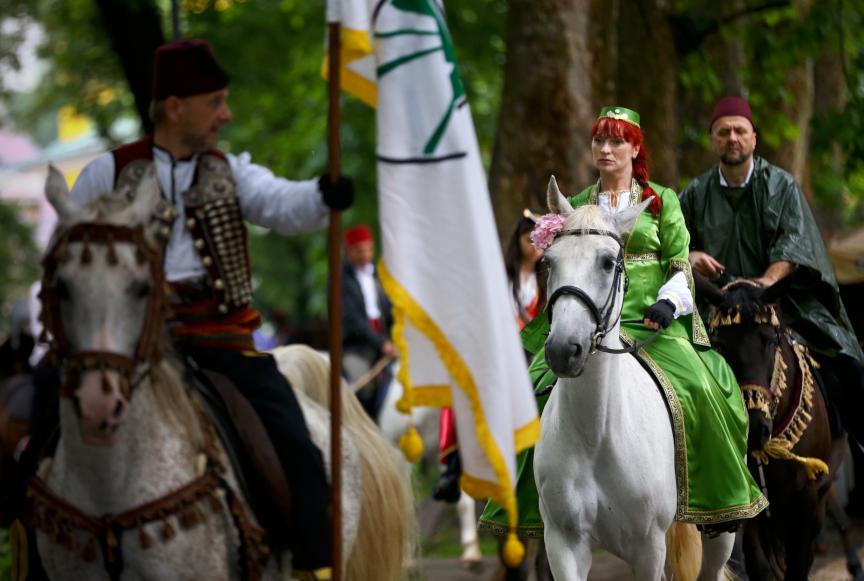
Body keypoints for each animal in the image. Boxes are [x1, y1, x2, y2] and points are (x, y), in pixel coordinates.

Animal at [536, 177, 732, 580]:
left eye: (608, 262)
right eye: (549, 261)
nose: (564, 349)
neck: (595, 436)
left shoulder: (648, 548)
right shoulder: (563, 543)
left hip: (721, 531)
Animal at [700, 276, 860, 580]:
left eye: (771, 340)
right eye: (719, 344)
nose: (754, 430)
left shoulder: (806, 501)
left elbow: (798, 566)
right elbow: (759, 566)